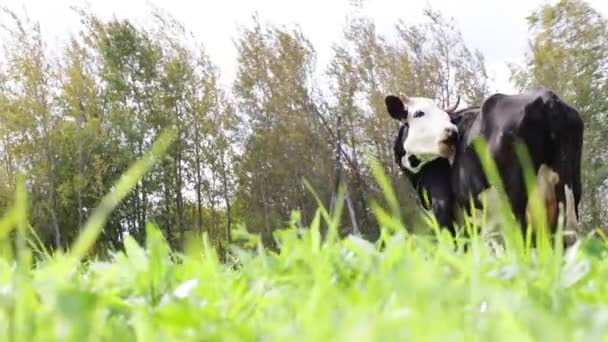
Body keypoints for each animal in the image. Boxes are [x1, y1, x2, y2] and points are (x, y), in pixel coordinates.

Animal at [388, 87, 580, 243]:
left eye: (445, 116)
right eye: (418, 113)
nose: (452, 132)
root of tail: (548, 98)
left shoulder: (443, 210)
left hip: (518, 205)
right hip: (568, 193)